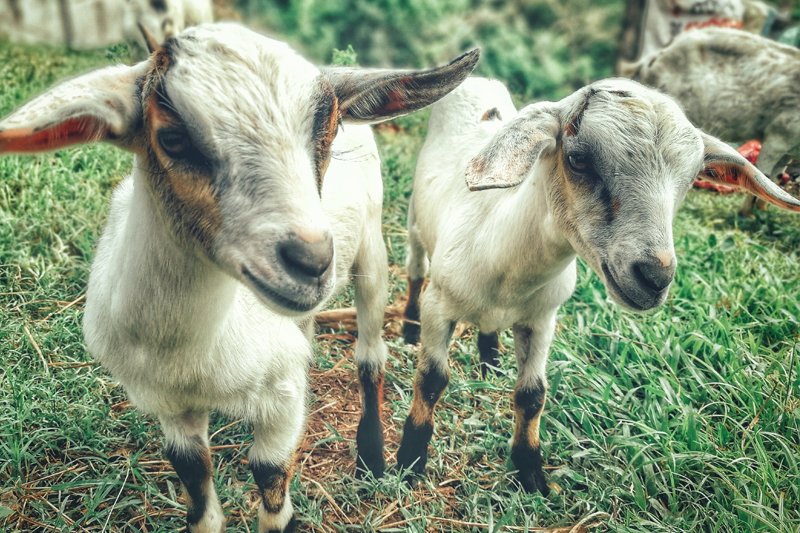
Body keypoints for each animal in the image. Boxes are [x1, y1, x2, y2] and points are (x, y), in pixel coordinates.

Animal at [0, 23, 478, 531]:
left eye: (328, 132)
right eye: (172, 139)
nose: (311, 261)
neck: (190, 351)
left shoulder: (280, 402)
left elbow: (269, 476)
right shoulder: (168, 405)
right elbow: (198, 493)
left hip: (371, 250)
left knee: (371, 356)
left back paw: (372, 455)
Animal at [396, 76, 800, 494]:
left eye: (690, 181)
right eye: (578, 159)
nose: (654, 277)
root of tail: (480, 80)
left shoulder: (542, 319)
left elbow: (532, 395)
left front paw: (532, 475)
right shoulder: (440, 306)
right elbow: (432, 380)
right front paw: (409, 460)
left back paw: (489, 359)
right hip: (415, 225)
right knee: (415, 269)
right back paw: (409, 328)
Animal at [633, 27, 800, 216]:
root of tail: (655, 57)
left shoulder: (787, 152)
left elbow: (776, 178)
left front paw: (762, 210)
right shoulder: (778, 138)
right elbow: (765, 176)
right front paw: (746, 214)